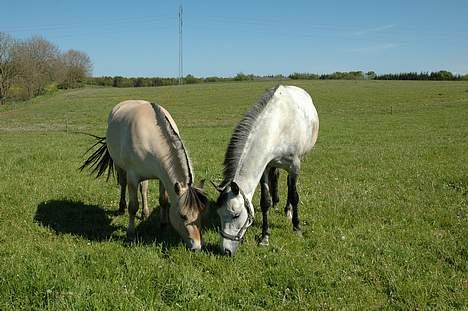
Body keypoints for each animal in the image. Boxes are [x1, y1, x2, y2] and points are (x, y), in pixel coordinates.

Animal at [80, 101, 207, 252]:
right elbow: (133, 206)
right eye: (183, 216)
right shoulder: (133, 177)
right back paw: (121, 208)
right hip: (119, 165)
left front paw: (163, 224)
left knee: (144, 189)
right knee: (123, 184)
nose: (197, 246)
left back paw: (145, 213)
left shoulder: (162, 177)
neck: (151, 135)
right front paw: (130, 233)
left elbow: (163, 201)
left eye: (201, 214)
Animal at [214, 85, 320, 256]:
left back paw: (288, 211)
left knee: (289, 186)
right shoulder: (265, 167)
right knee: (276, 177)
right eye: (219, 213)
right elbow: (265, 201)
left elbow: (295, 195)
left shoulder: (295, 166)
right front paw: (265, 236)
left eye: (236, 214)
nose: (226, 251)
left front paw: (297, 228)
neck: (279, 125)